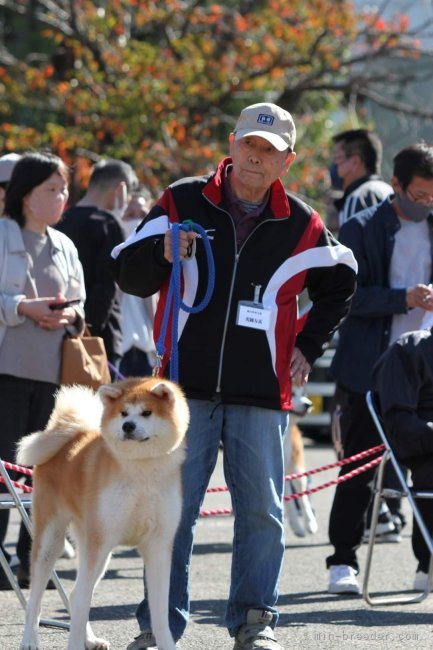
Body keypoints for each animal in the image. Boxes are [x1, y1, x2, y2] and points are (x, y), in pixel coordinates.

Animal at [16, 374, 189, 648]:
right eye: (123, 413)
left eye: (147, 412)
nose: (128, 426)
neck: (141, 470)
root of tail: (68, 437)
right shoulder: (100, 541)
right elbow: (81, 603)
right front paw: (74, 644)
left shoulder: (158, 545)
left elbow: (161, 613)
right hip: (51, 541)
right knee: (39, 597)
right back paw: (30, 640)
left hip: (96, 548)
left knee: (75, 594)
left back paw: (90, 639)